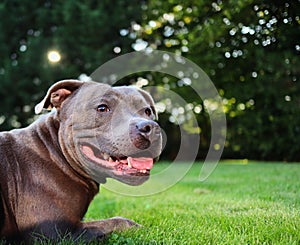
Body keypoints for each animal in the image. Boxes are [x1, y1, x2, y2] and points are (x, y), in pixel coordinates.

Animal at [0, 79, 162, 243]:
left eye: (147, 111)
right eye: (102, 108)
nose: (150, 127)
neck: (55, 153)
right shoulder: (54, 232)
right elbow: (117, 221)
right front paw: (142, 229)